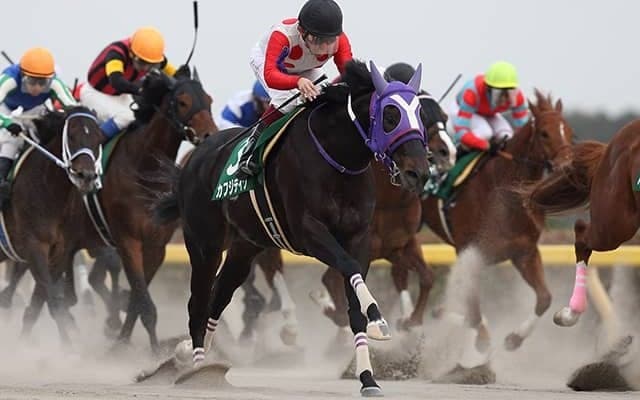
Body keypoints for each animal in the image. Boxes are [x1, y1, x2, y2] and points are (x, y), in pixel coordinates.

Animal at [0, 105, 103, 343]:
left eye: (99, 137)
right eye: (71, 136)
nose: (86, 176)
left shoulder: (59, 252)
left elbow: (38, 304)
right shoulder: (35, 246)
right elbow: (53, 300)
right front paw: (67, 347)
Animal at [13, 68, 218, 352]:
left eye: (209, 100)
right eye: (182, 101)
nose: (210, 135)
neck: (143, 170)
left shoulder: (156, 246)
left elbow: (137, 298)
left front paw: (125, 338)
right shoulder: (127, 239)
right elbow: (141, 298)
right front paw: (137, 346)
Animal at [152, 60, 431, 396]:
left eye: (420, 115)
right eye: (390, 116)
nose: (419, 172)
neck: (338, 159)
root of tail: (192, 161)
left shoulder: (358, 238)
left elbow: (353, 303)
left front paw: (368, 377)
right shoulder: (309, 232)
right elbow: (348, 269)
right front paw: (378, 318)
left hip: (246, 246)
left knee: (219, 295)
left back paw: (204, 362)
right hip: (204, 243)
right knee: (199, 302)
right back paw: (194, 369)